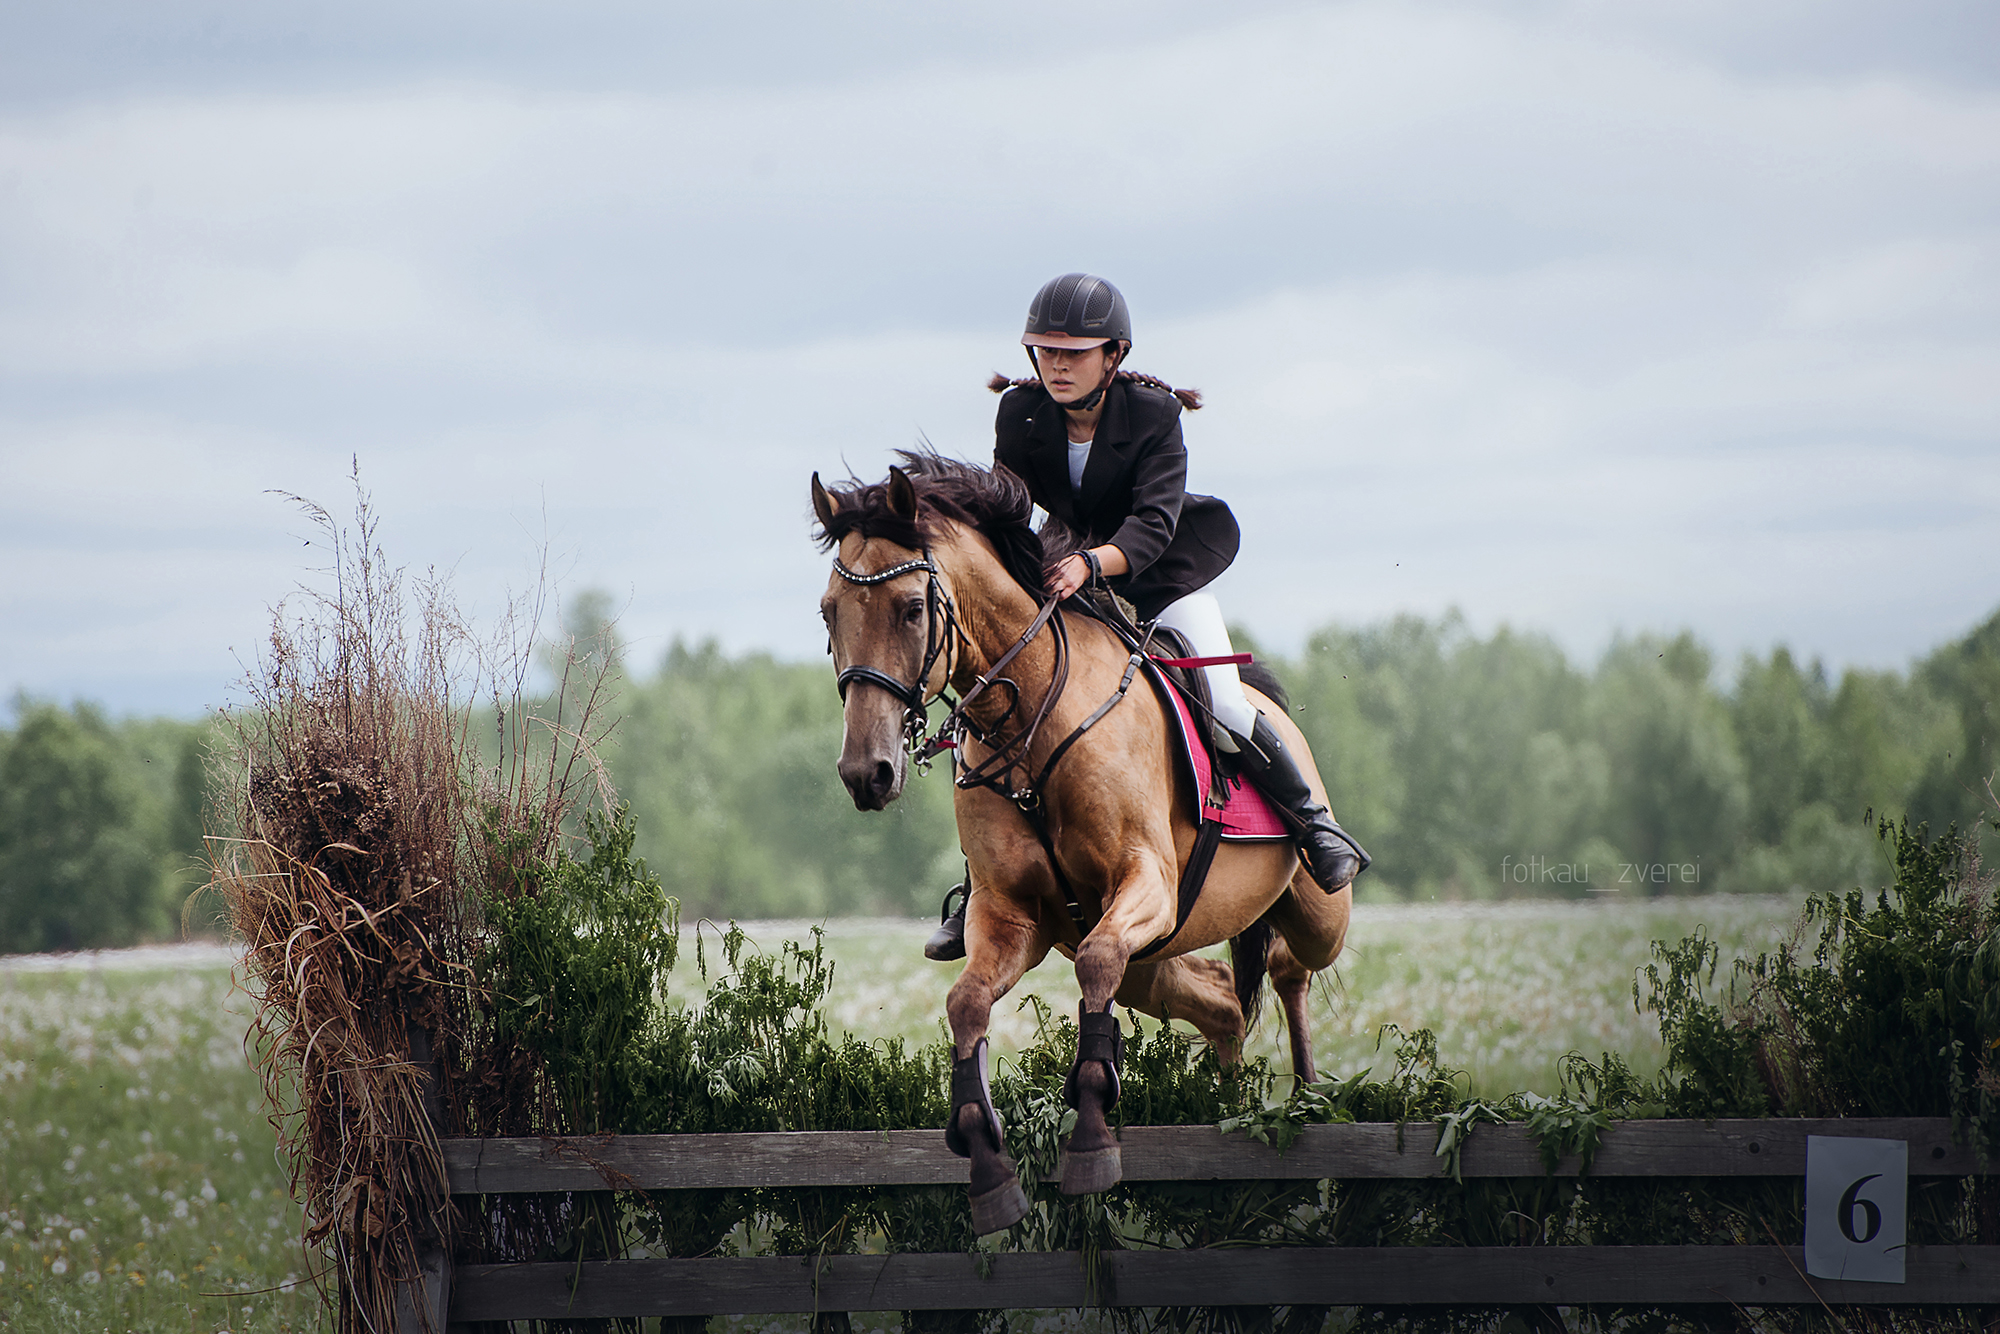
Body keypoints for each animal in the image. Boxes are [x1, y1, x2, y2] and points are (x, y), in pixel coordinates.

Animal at [804, 454, 1352, 1240]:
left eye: (911, 608)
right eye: (829, 612)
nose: (865, 774)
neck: (1029, 715)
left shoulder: (1144, 883)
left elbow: (1093, 966)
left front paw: (1092, 1139)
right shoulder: (1012, 917)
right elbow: (966, 1004)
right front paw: (987, 1167)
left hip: (1313, 913)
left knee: (1288, 966)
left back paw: (1307, 1098)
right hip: (1152, 961)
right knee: (1221, 1000)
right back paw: (1228, 1115)